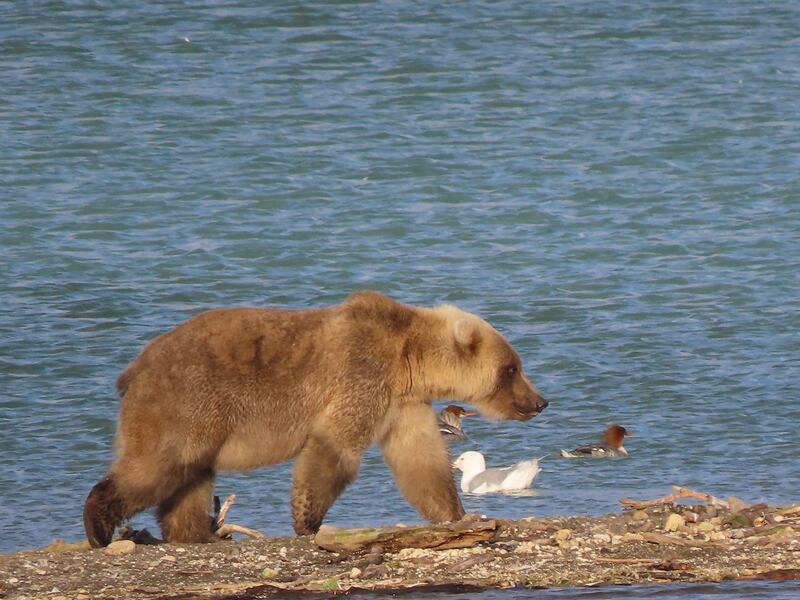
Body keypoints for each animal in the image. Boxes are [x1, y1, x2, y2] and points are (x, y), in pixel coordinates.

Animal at [84, 290, 548, 548]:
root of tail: (134, 368)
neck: (409, 360)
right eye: (512, 368)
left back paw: (193, 534)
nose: (540, 401)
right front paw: (308, 521)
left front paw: (455, 512)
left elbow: (420, 460)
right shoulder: (361, 376)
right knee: (158, 463)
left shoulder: (402, 403)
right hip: (187, 402)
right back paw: (99, 525)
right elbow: (334, 447)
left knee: (190, 479)